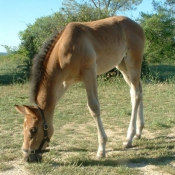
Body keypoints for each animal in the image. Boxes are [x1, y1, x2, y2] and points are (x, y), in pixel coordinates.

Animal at [15, 16, 144, 163]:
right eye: (23, 127)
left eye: (33, 130)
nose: (27, 157)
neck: (62, 51)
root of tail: (137, 26)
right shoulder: (65, 83)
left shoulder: (89, 73)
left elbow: (94, 107)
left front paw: (101, 149)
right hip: (122, 66)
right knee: (138, 91)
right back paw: (139, 132)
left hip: (133, 63)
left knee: (135, 94)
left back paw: (129, 138)